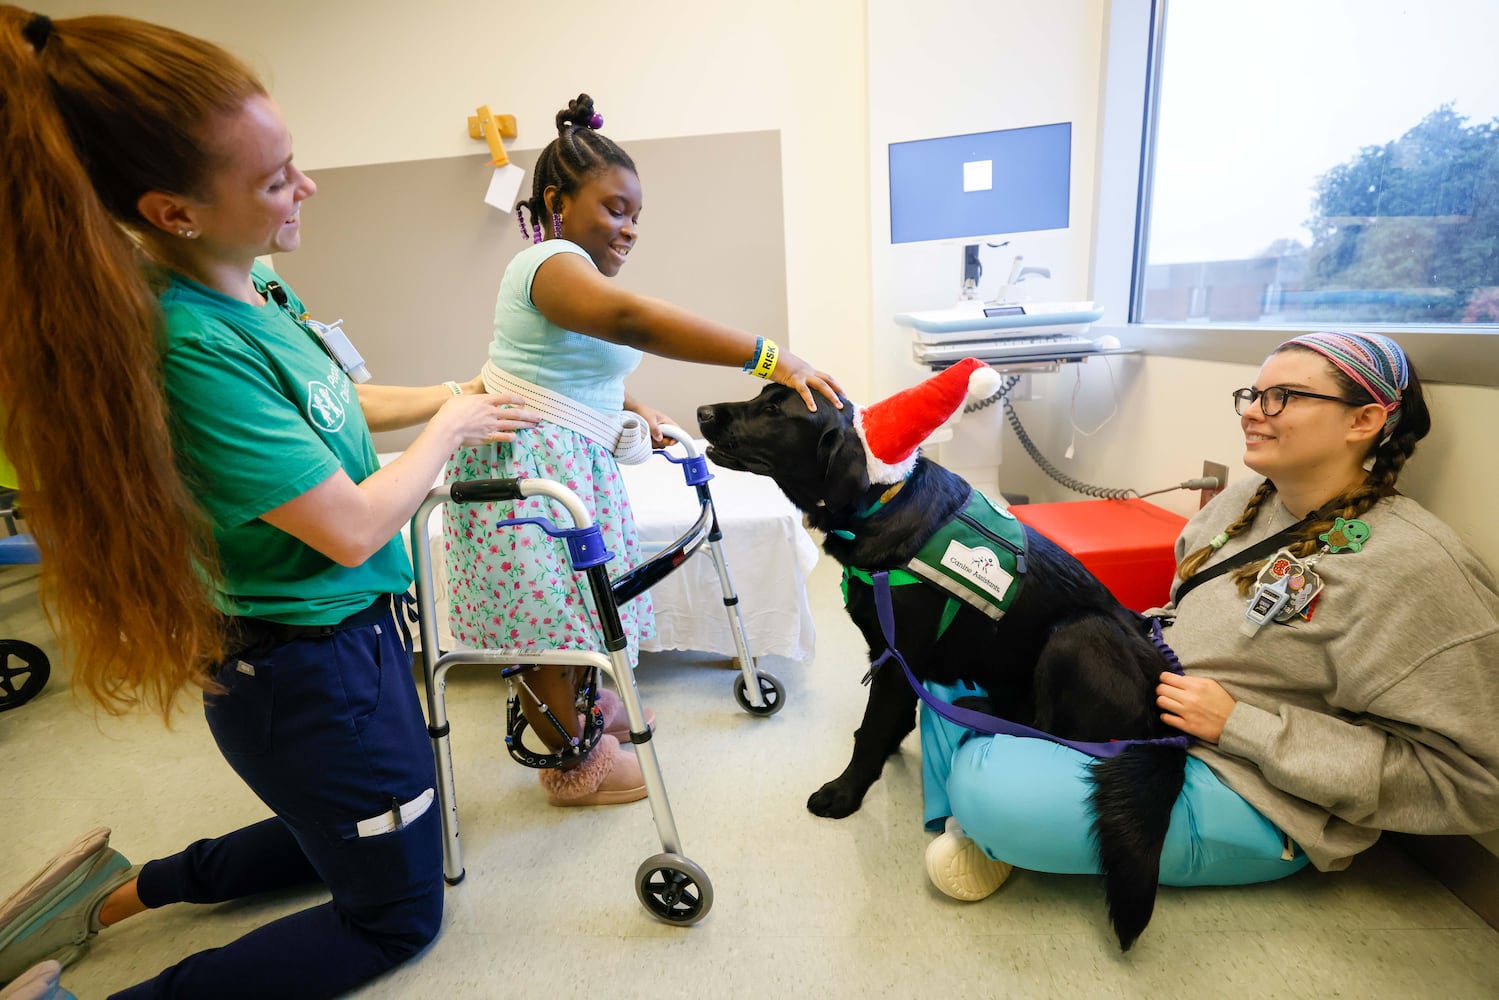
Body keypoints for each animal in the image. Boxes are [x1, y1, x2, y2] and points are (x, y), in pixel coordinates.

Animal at [695, 379, 1187, 953]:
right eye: (762, 394)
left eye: (776, 409)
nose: (702, 412)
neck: (878, 503)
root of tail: (1162, 718)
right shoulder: (887, 655)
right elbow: (885, 722)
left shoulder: (896, 657)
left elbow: (871, 731)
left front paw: (845, 792)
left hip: (1078, 633)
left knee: (1052, 729)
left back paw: (979, 710)